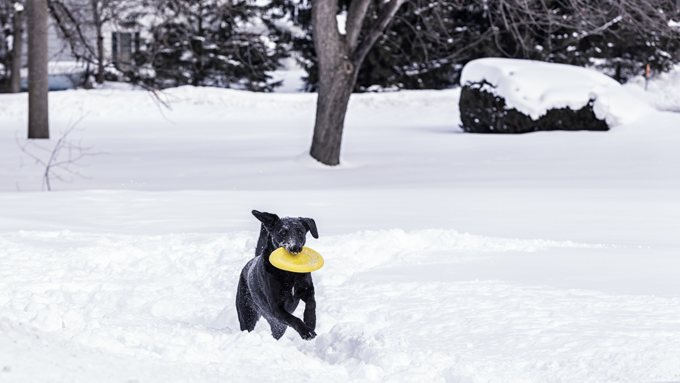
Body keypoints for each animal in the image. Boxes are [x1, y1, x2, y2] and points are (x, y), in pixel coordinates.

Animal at [235, 212, 320, 340]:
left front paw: (310, 323)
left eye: (300, 232)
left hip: (276, 324)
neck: (290, 273)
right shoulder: (276, 307)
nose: (295, 247)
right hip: (248, 313)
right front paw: (306, 331)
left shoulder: (308, 290)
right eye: (283, 232)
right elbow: (293, 319)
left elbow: (311, 304)